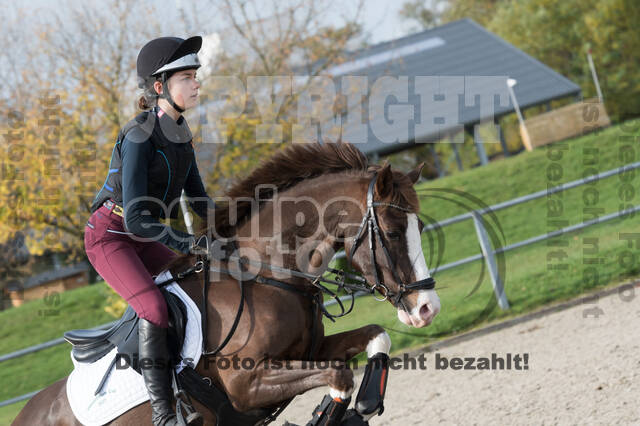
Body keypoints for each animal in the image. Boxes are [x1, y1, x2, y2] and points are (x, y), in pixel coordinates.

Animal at [13, 141, 440, 424]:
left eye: (418, 227)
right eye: (393, 230)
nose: (427, 308)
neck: (269, 275)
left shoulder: (312, 349)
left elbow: (376, 336)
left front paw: (364, 403)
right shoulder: (246, 382)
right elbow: (339, 376)